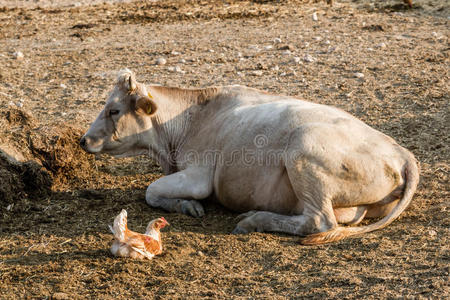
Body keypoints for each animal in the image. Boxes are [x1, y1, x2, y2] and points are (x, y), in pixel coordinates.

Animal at [80, 68, 418, 244]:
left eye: (114, 110)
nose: (83, 140)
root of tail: (402, 153)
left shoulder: (200, 176)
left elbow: (151, 191)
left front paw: (188, 205)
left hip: (302, 152)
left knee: (320, 221)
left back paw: (252, 219)